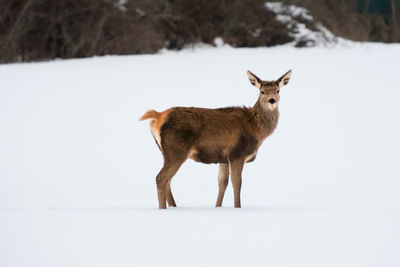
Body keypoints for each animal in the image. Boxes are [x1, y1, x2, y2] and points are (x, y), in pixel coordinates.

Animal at [140, 70, 290, 210]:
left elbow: (222, 183)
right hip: (176, 150)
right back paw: (163, 209)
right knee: (161, 178)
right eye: (262, 91)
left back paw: (173, 207)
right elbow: (237, 183)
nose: (272, 100)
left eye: (278, 90)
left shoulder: (223, 158)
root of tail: (158, 117)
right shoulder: (237, 153)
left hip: (165, 151)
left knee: (168, 181)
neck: (257, 130)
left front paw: (217, 207)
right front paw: (237, 207)